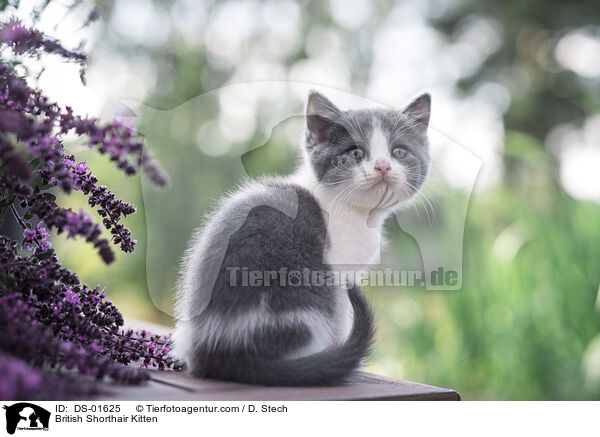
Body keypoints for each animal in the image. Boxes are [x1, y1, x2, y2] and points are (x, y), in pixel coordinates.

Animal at [173, 90, 432, 384]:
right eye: (356, 153)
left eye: (399, 151)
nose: (383, 166)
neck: (360, 215)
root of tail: (221, 348)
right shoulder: (338, 275)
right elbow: (340, 318)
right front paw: (339, 352)